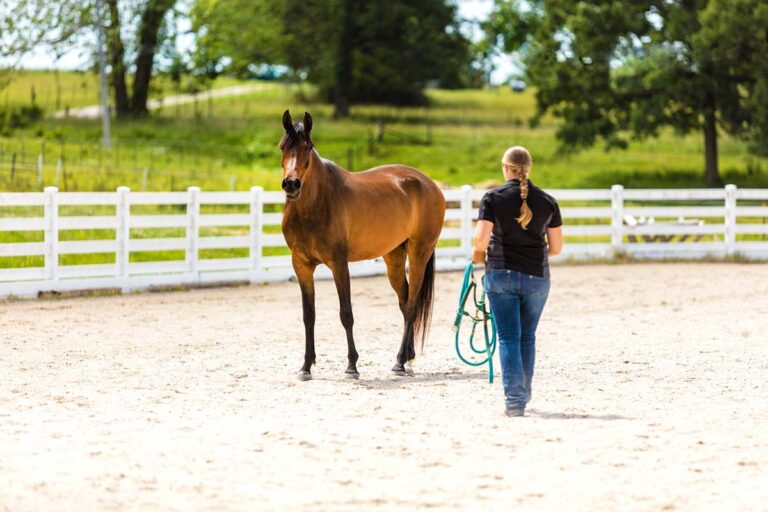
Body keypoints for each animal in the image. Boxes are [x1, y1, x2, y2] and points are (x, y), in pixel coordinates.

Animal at [278, 110, 446, 380]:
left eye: (307, 147)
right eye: (283, 146)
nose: (291, 184)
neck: (317, 203)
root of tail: (430, 185)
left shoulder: (339, 263)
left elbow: (346, 313)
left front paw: (352, 366)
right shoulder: (301, 265)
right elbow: (308, 316)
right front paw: (305, 366)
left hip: (419, 253)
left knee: (411, 305)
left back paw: (399, 362)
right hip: (394, 257)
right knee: (404, 302)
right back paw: (407, 357)